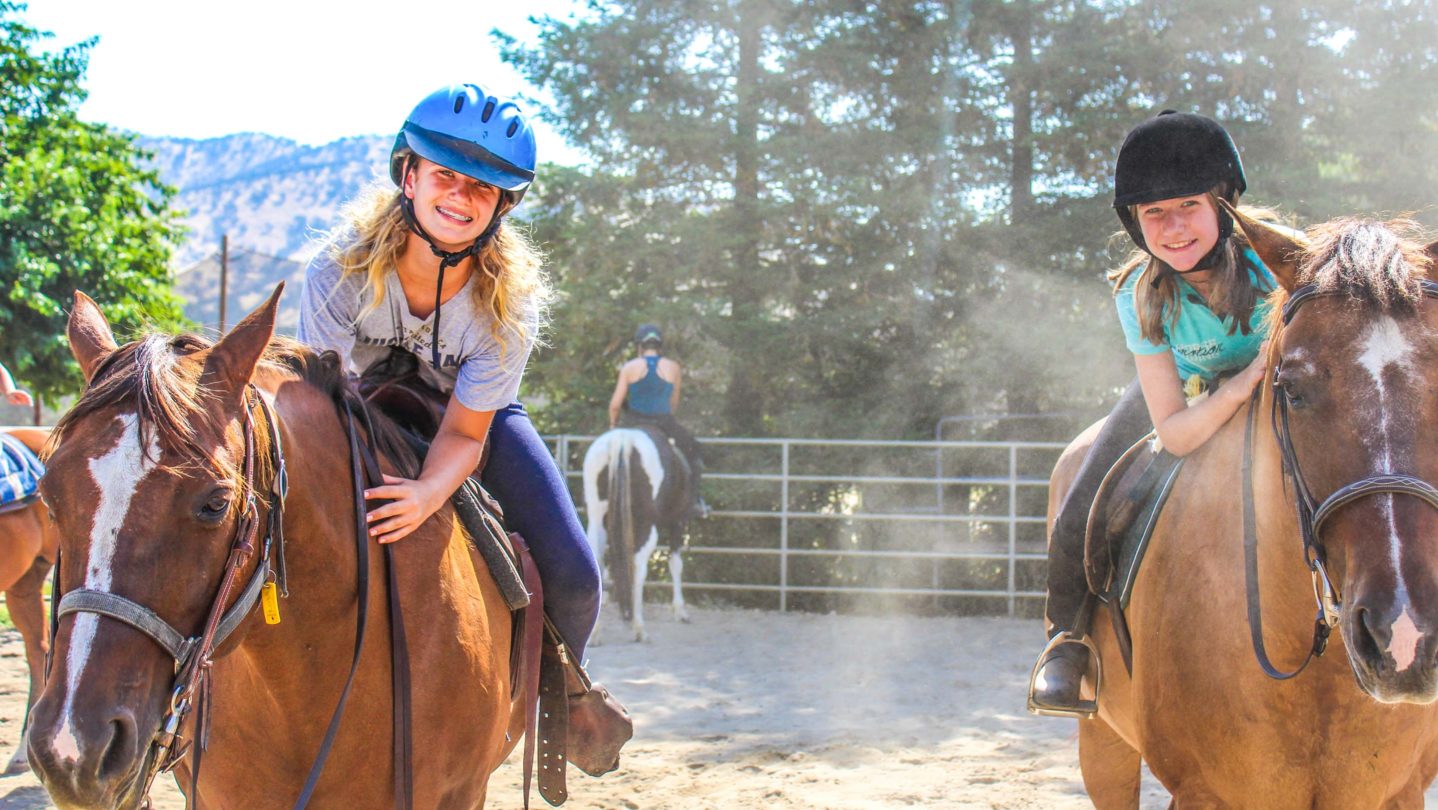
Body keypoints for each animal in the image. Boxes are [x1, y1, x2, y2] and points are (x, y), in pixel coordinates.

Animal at [580, 428, 687, 644]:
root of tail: (623, 439)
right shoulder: (676, 522)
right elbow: (676, 564)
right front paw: (679, 610)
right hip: (647, 524)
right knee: (638, 567)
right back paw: (639, 627)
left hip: (596, 518)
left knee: (598, 561)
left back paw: (595, 633)